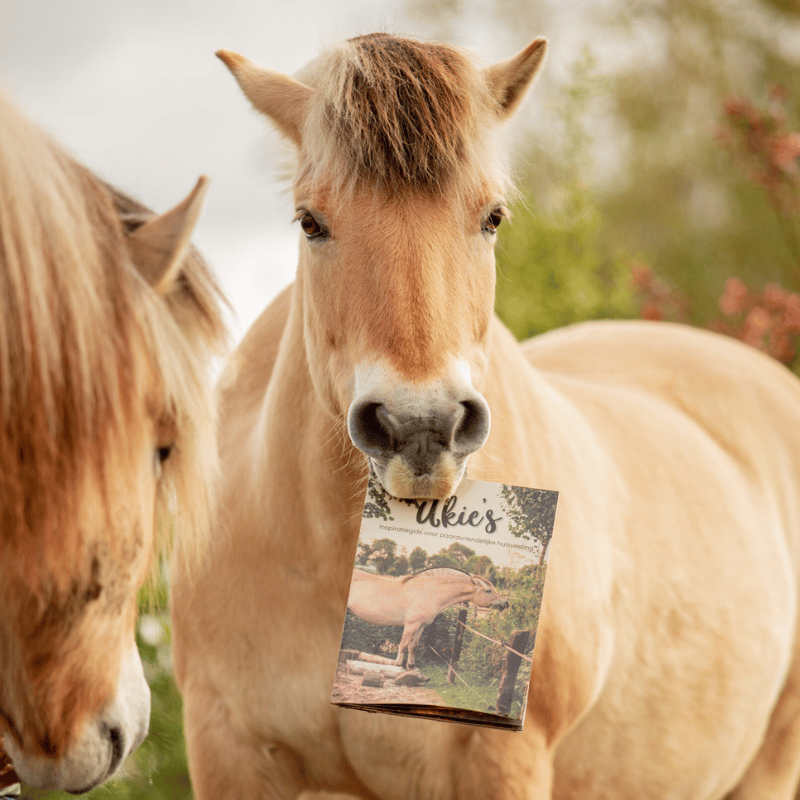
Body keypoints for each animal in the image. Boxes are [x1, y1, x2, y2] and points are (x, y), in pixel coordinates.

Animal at [346, 568, 510, 668]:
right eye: (488, 590)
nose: (506, 603)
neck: (429, 592)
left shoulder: (421, 626)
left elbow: (413, 646)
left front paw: (411, 666)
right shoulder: (411, 625)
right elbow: (403, 644)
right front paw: (398, 664)